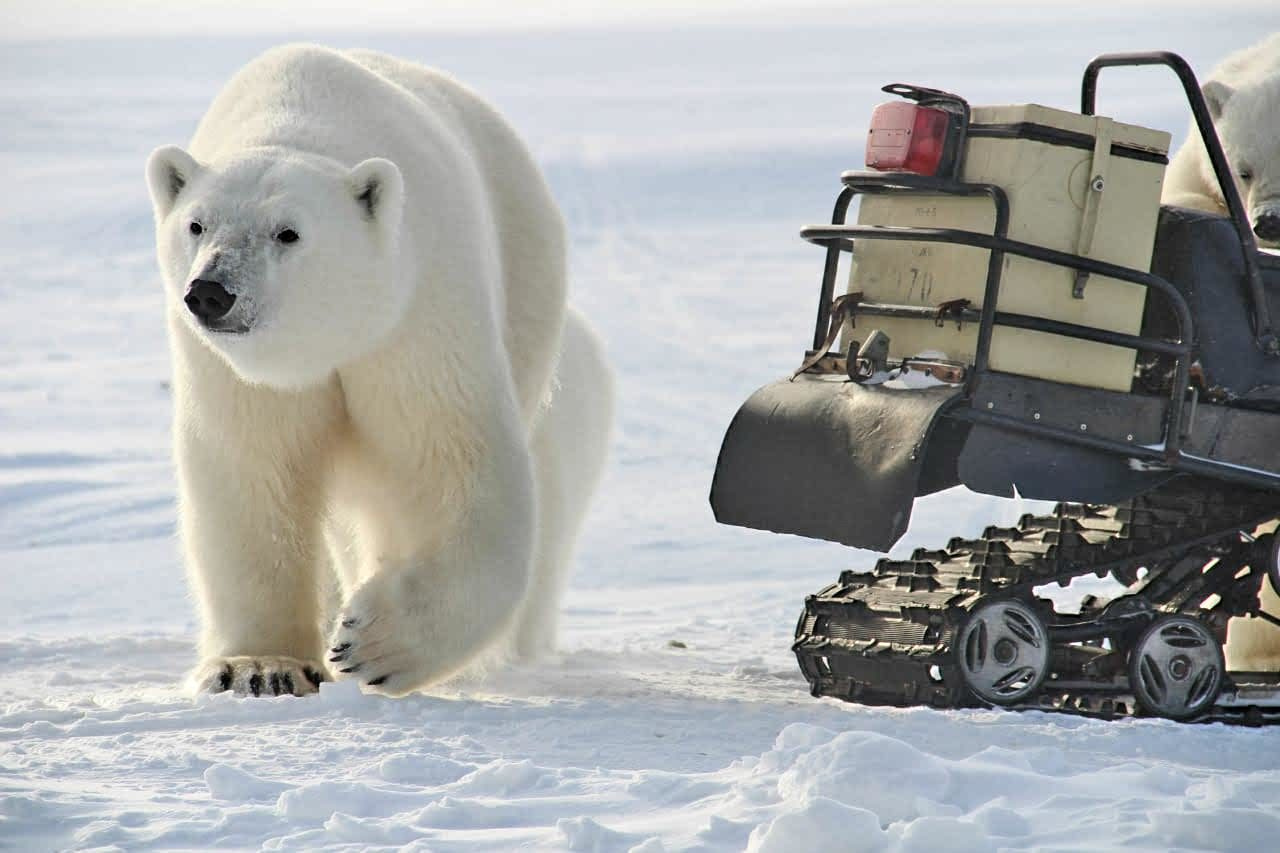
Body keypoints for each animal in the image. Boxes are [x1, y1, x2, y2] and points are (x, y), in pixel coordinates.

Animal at [145, 43, 614, 696]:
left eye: (288, 232)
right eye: (196, 224)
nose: (212, 292)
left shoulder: (416, 313)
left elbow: (449, 457)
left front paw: (377, 644)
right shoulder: (234, 376)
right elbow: (251, 473)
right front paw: (261, 667)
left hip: (526, 288)